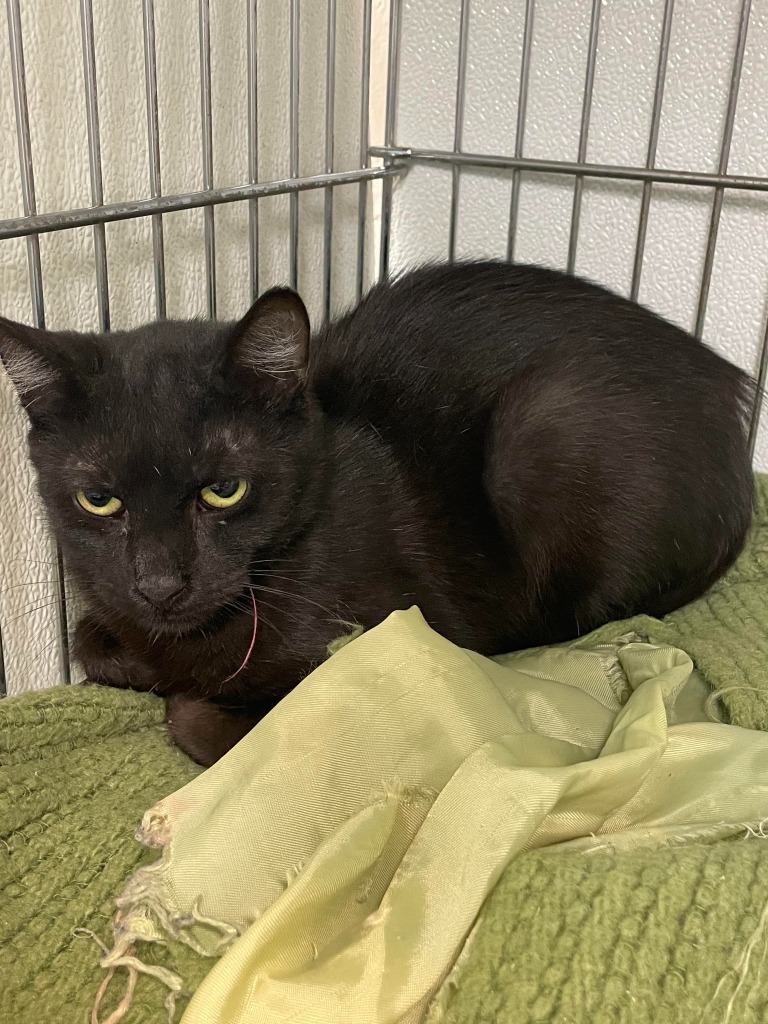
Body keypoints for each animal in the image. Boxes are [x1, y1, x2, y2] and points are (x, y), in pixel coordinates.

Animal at [0, 260, 757, 765]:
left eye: (225, 490)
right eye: (99, 498)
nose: (159, 583)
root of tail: (735, 405)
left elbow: (202, 718)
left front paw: (189, 698)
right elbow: (88, 641)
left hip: (548, 424)